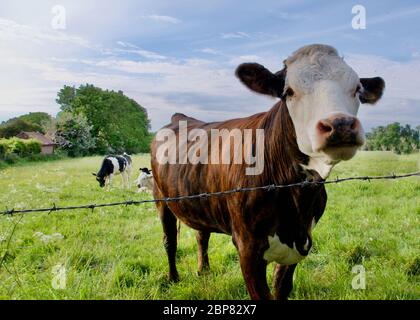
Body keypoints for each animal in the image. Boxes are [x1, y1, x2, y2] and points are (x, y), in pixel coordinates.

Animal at [150, 44, 384, 300]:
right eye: (289, 91)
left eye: (357, 89)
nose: (340, 125)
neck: (296, 198)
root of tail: (180, 117)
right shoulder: (247, 247)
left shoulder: (302, 239)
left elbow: (281, 286)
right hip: (161, 199)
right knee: (169, 241)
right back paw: (173, 277)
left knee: (202, 235)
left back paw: (204, 271)